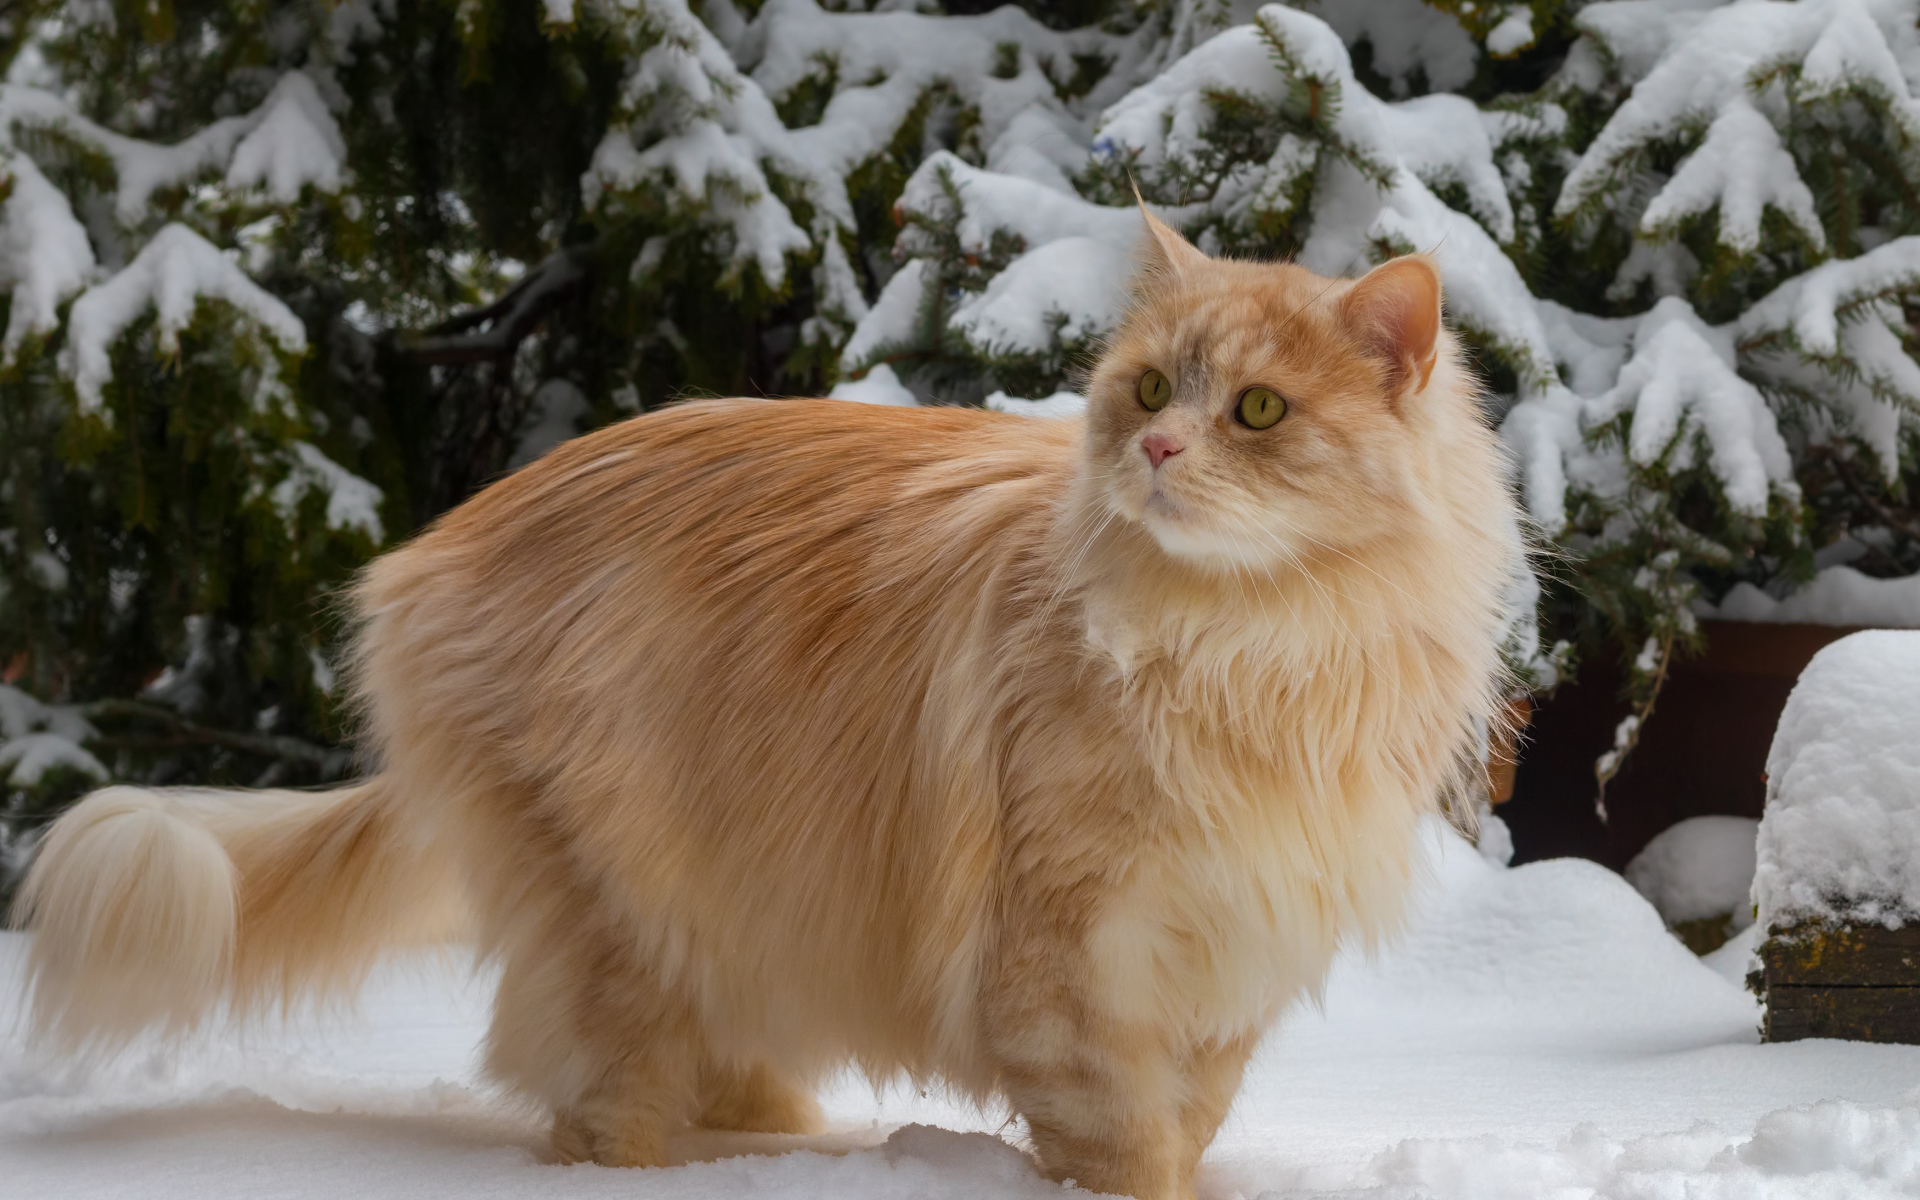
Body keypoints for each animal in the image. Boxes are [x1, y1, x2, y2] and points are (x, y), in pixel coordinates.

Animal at [11, 215, 1512, 1198]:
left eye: (1255, 411)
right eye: (1149, 387)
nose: (1154, 445)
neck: (1248, 652)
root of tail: (426, 554)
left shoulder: (1221, 960)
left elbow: (1186, 1126)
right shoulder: (1071, 963)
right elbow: (1125, 1150)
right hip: (616, 906)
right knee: (595, 1105)